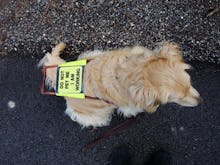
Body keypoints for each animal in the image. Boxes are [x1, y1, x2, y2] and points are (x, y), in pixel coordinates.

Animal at [39, 42, 201, 127]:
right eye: (177, 98)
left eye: (190, 83)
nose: (200, 102)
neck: (133, 71)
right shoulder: (129, 105)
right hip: (96, 115)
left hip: (91, 55)